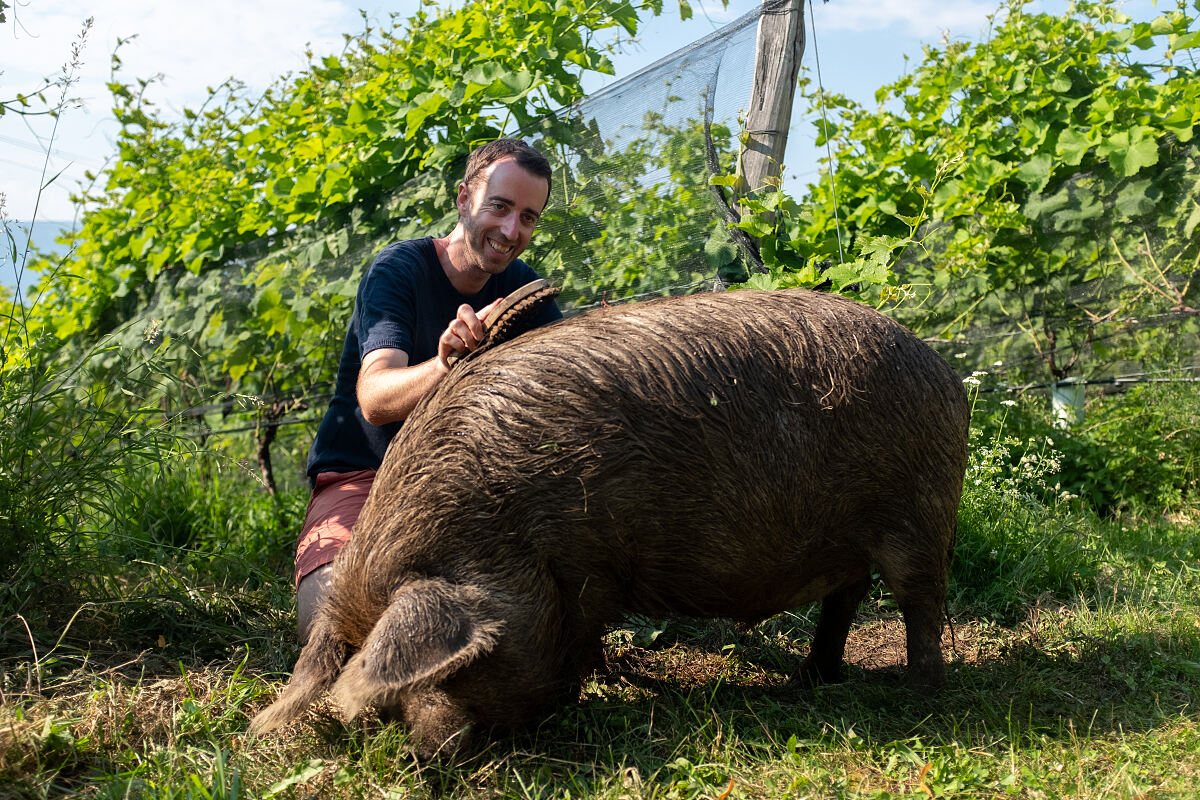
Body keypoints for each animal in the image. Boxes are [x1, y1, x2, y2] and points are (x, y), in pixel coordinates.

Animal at [248, 287, 969, 758]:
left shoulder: (589, 566)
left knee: (920, 599)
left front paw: (579, 693)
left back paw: (922, 692)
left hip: (922, 505)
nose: (422, 754)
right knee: (847, 595)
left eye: (458, 667)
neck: (506, 529)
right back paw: (811, 678)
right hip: (853, 536)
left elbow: (583, 632)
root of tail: (946, 371)